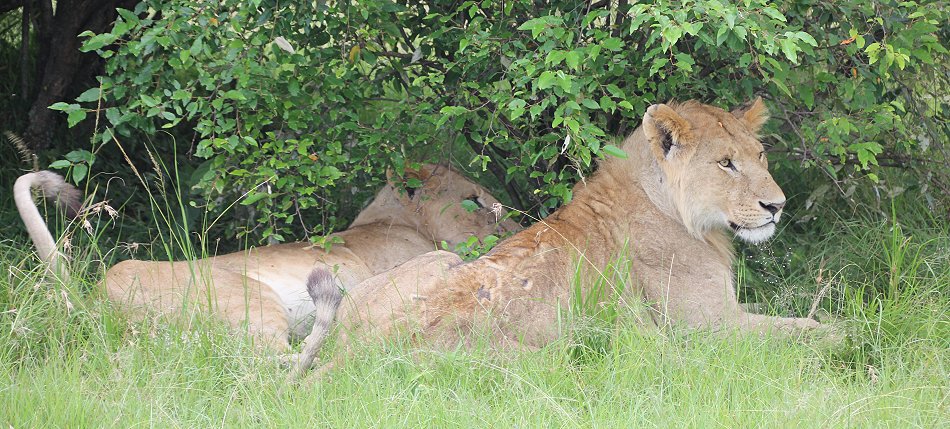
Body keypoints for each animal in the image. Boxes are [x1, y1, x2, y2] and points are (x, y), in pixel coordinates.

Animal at [294, 98, 828, 372]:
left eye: (760, 155)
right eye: (726, 163)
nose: (777, 206)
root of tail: (355, 352)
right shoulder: (707, 328)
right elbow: (813, 330)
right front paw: (843, 337)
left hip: (435, 261)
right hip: (551, 356)